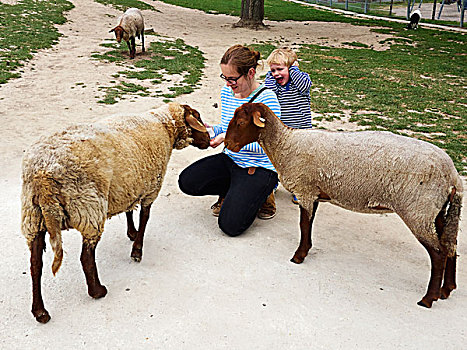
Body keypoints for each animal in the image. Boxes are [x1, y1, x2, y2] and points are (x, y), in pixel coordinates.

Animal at [22, 102, 209, 322]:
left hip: (33, 217)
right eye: (197, 117)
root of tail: (42, 176)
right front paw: (137, 250)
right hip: (89, 209)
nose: (208, 140)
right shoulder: (151, 188)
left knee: (35, 265)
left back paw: (39, 311)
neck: (164, 126)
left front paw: (131, 233)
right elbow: (145, 218)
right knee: (85, 257)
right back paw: (97, 291)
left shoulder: (129, 185)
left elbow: (129, 211)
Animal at [227, 102, 464, 308]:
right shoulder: (315, 193)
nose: (228, 144)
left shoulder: (305, 190)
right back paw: (447, 289)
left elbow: (303, 225)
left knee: (438, 253)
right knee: (450, 244)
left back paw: (429, 298)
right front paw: (306, 250)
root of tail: (453, 176)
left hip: (418, 211)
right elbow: (308, 225)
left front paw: (298, 256)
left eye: (241, 122)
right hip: (436, 212)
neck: (285, 144)